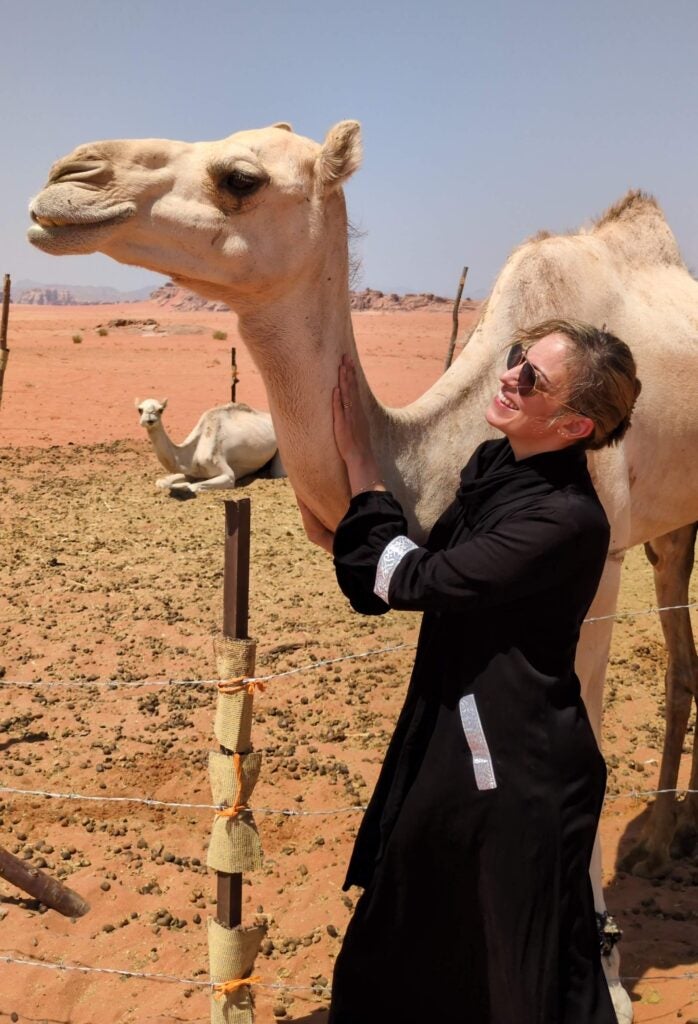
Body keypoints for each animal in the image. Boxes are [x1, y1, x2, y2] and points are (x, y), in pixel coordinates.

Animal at [135, 396, 283, 493]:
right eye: (139, 409)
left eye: (161, 409)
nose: (150, 419)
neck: (192, 454)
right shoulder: (192, 471)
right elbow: (162, 482)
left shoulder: (226, 473)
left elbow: (191, 486)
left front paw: (182, 486)